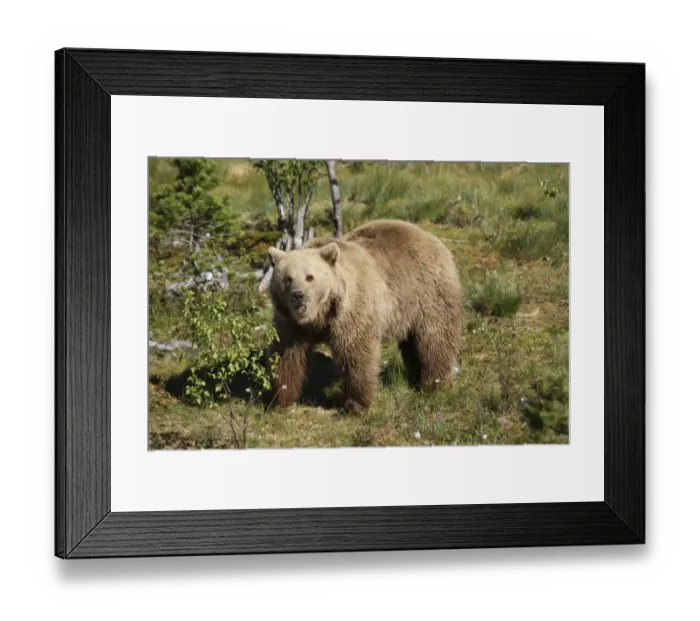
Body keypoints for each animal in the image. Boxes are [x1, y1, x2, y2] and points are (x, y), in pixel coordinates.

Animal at [267, 219, 462, 412]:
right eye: (288, 279)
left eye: (310, 277)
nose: (298, 295)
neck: (320, 316)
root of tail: (433, 239)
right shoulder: (291, 323)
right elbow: (287, 354)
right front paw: (281, 397)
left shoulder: (351, 313)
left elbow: (356, 352)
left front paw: (355, 404)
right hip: (407, 310)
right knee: (411, 345)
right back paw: (415, 379)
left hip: (428, 295)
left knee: (434, 340)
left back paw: (435, 385)